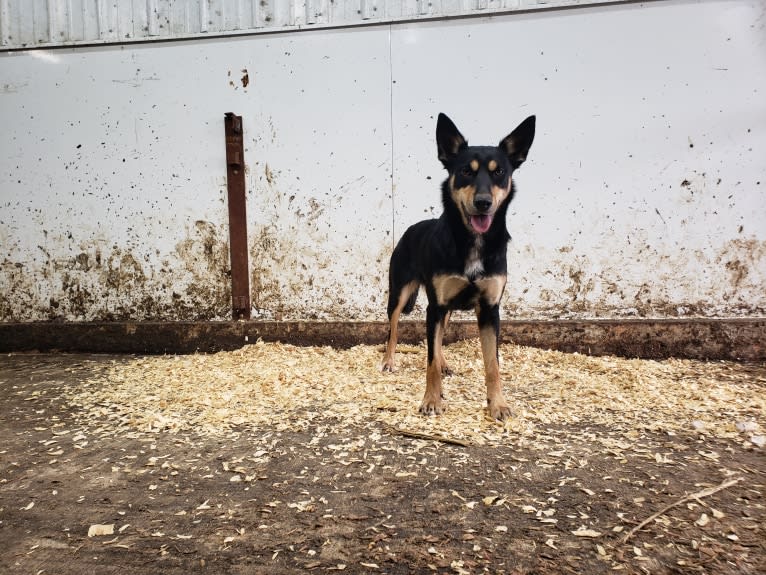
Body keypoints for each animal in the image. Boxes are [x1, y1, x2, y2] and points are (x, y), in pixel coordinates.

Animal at [380, 112, 536, 420]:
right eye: (466, 171)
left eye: (499, 172)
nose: (483, 203)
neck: (472, 240)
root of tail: (411, 229)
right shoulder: (436, 305)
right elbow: (428, 361)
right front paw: (431, 400)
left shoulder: (489, 309)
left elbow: (492, 365)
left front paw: (497, 404)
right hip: (400, 293)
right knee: (393, 328)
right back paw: (390, 361)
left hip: (446, 307)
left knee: (439, 338)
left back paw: (445, 362)